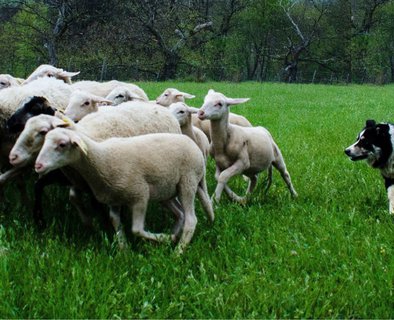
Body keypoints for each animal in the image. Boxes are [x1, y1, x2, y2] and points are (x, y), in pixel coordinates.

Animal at [34, 129, 212, 254]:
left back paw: (178, 251)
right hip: (165, 190)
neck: (101, 160)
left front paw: (162, 238)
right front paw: (124, 250)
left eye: (62, 144)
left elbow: (137, 229)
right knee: (180, 213)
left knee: (191, 220)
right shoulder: (113, 199)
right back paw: (173, 237)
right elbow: (115, 222)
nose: (38, 166)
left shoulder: (140, 194)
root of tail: (194, 145)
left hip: (187, 182)